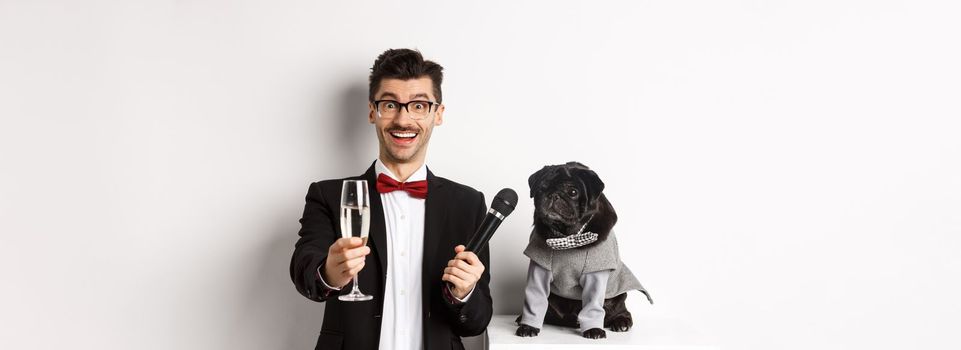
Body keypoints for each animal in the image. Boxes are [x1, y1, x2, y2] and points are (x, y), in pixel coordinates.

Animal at [510, 162, 652, 340]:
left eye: (572, 192)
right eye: (541, 188)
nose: (553, 195)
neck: (566, 236)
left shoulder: (595, 274)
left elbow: (593, 305)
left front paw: (594, 329)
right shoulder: (539, 269)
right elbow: (535, 300)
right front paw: (528, 326)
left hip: (617, 298)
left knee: (621, 311)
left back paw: (621, 322)